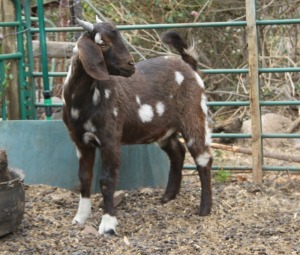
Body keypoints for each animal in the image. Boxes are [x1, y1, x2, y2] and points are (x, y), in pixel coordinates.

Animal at [62, 16, 213, 235]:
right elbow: (84, 177)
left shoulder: (110, 138)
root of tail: (189, 65)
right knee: (177, 151)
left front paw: (108, 224)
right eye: (102, 43)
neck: (82, 101)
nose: (130, 65)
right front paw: (80, 217)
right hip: (164, 129)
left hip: (194, 115)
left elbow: (107, 180)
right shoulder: (80, 141)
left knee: (203, 158)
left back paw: (204, 209)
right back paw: (168, 196)